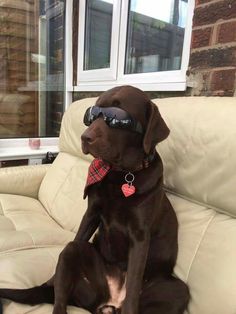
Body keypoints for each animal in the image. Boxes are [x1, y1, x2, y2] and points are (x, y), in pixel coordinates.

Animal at [0, 86, 189, 314]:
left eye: (118, 117)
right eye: (92, 115)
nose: (85, 137)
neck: (121, 175)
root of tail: (110, 299)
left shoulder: (140, 236)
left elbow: (134, 283)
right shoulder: (91, 213)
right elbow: (81, 233)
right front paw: (50, 281)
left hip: (177, 289)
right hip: (72, 255)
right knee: (62, 290)